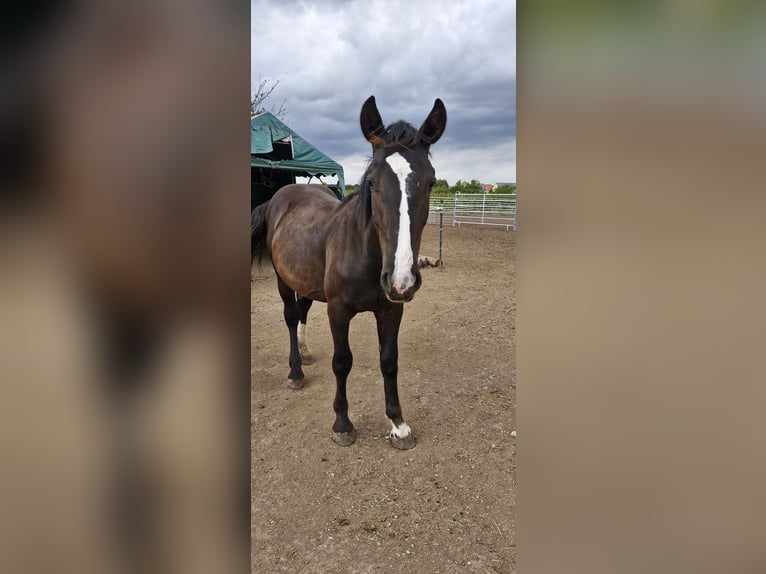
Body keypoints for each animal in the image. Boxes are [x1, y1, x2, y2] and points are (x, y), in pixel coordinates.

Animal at [252, 95, 447, 450]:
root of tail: (280, 198)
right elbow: (342, 362)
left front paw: (399, 425)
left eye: (431, 182)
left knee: (302, 309)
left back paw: (305, 353)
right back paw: (296, 371)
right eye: (371, 181)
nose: (401, 281)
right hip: (282, 279)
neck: (365, 254)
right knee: (290, 316)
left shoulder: (391, 310)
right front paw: (342, 424)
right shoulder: (338, 310)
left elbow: (389, 361)